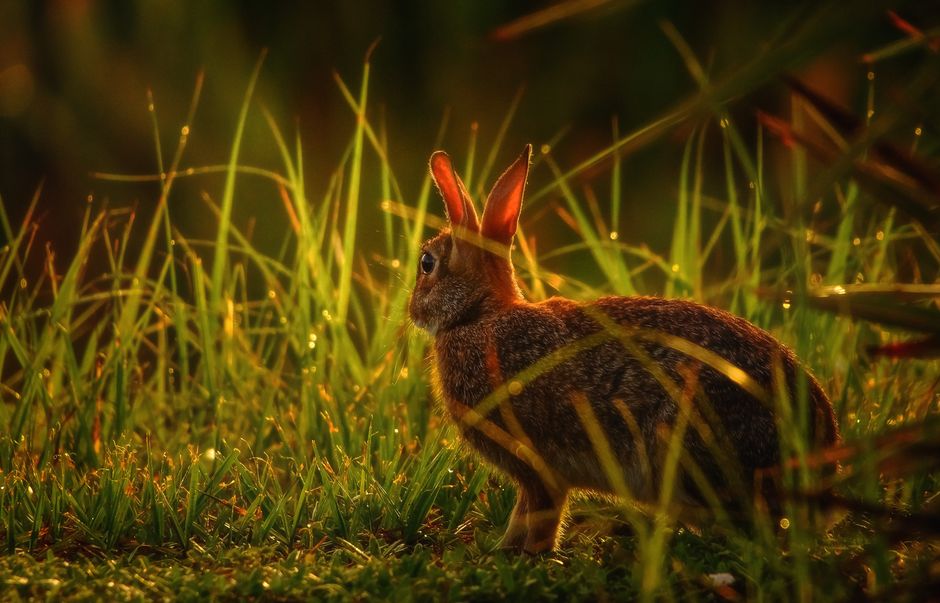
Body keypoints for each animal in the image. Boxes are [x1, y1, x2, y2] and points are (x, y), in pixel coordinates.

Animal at [409, 144, 840, 554]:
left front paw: (518, 552)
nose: (411, 311)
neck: (478, 317)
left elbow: (538, 513)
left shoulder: (538, 464)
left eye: (427, 264)